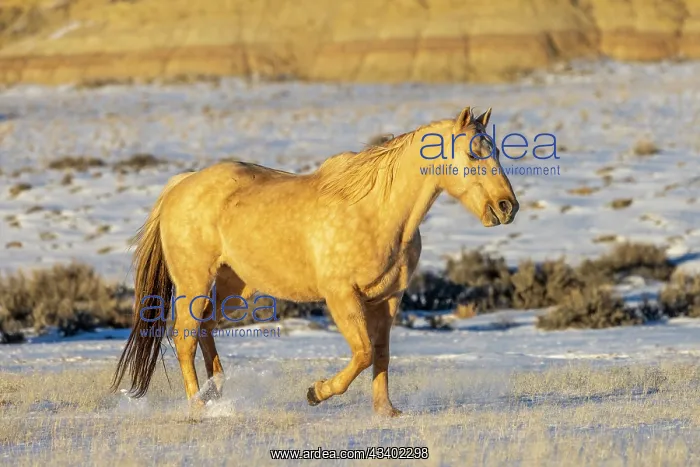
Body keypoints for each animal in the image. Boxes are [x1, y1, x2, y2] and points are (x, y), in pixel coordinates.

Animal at [110, 106, 519, 418]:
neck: (377, 213)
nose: (506, 207)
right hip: (194, 283)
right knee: (185, 338)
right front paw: (317, 392)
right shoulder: (341, 297)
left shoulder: (388, 299)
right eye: (473, 154)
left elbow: (381, 354)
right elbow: (363, 353)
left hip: (233, 289)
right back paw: (198, 406)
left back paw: (216, 391)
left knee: (205, 329)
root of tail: (181, 185)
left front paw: (386, 411)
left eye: (496, 151)